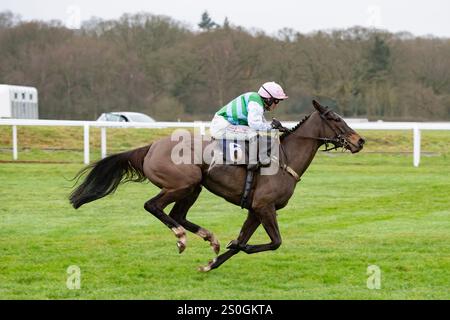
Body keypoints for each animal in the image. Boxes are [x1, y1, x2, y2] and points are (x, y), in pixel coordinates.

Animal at [70, 100, 366, 270]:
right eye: (335, 119)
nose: (360, 141)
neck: (284, 158)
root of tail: (150, 146)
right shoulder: (264, 206)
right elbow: (275, 242)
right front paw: (237, 246)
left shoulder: (256, 210)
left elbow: (248, 241)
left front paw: (213, 262)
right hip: (182, 183)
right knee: (153, 206)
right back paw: (181, 237)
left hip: (194, 187)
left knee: (177, 214)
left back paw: (209, 238)